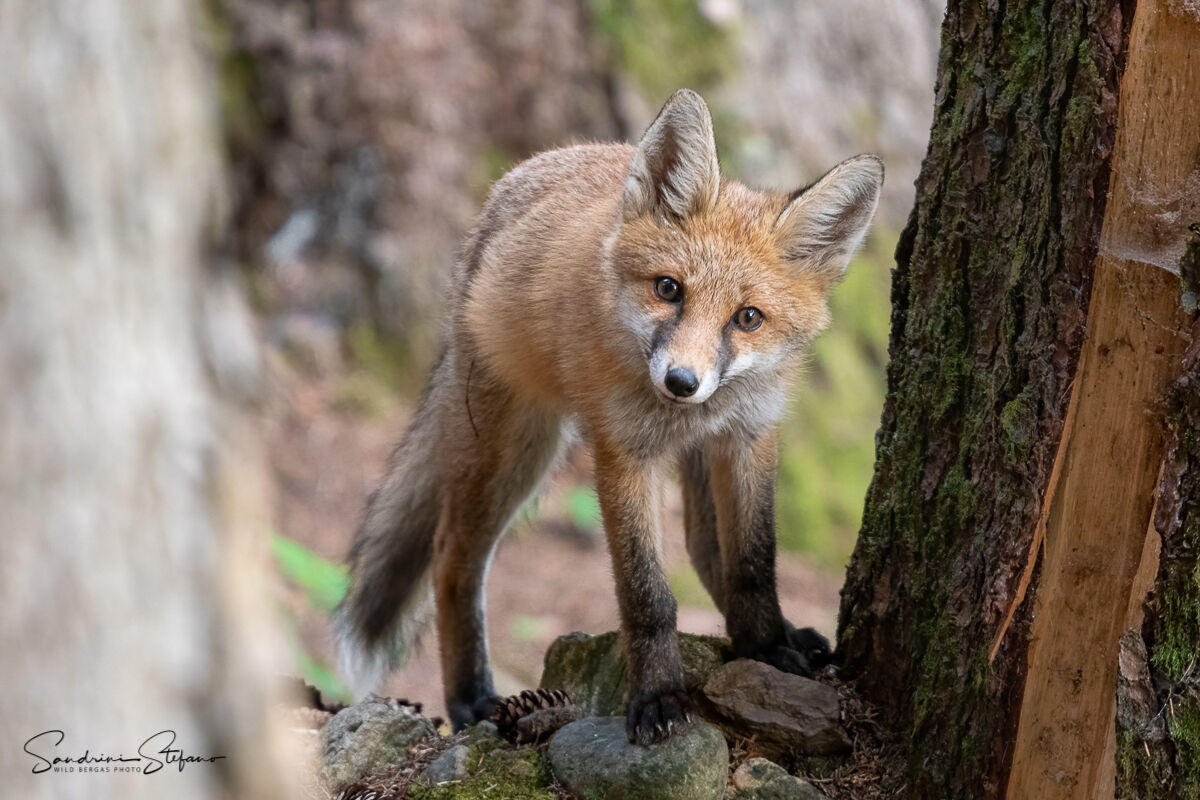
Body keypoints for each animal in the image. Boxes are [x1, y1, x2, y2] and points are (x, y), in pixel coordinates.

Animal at [335, 88, 883, 745]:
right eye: (669, 289)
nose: (681, 383)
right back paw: (471, 698)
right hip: (517, 452)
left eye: (748, 318)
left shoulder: (748, 436)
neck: (684, 417)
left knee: (704, 545)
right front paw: (658, 695)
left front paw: (767, 645)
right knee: (451, 556)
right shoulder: (623, 453)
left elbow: (753, 561)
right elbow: (647, 596)